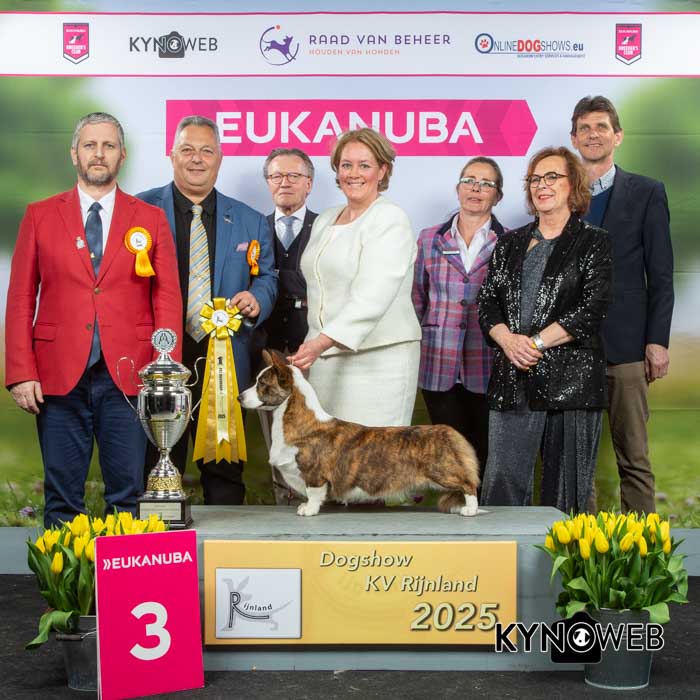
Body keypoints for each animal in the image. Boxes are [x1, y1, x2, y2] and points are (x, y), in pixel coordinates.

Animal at [239, 350, 480, 517]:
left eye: (262, 383)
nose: (239, 397)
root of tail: (449, 432)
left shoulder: (314, 474)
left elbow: (314, 494)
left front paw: (308, 510)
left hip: (445, 472)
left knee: (469, 485)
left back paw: (470, 510)